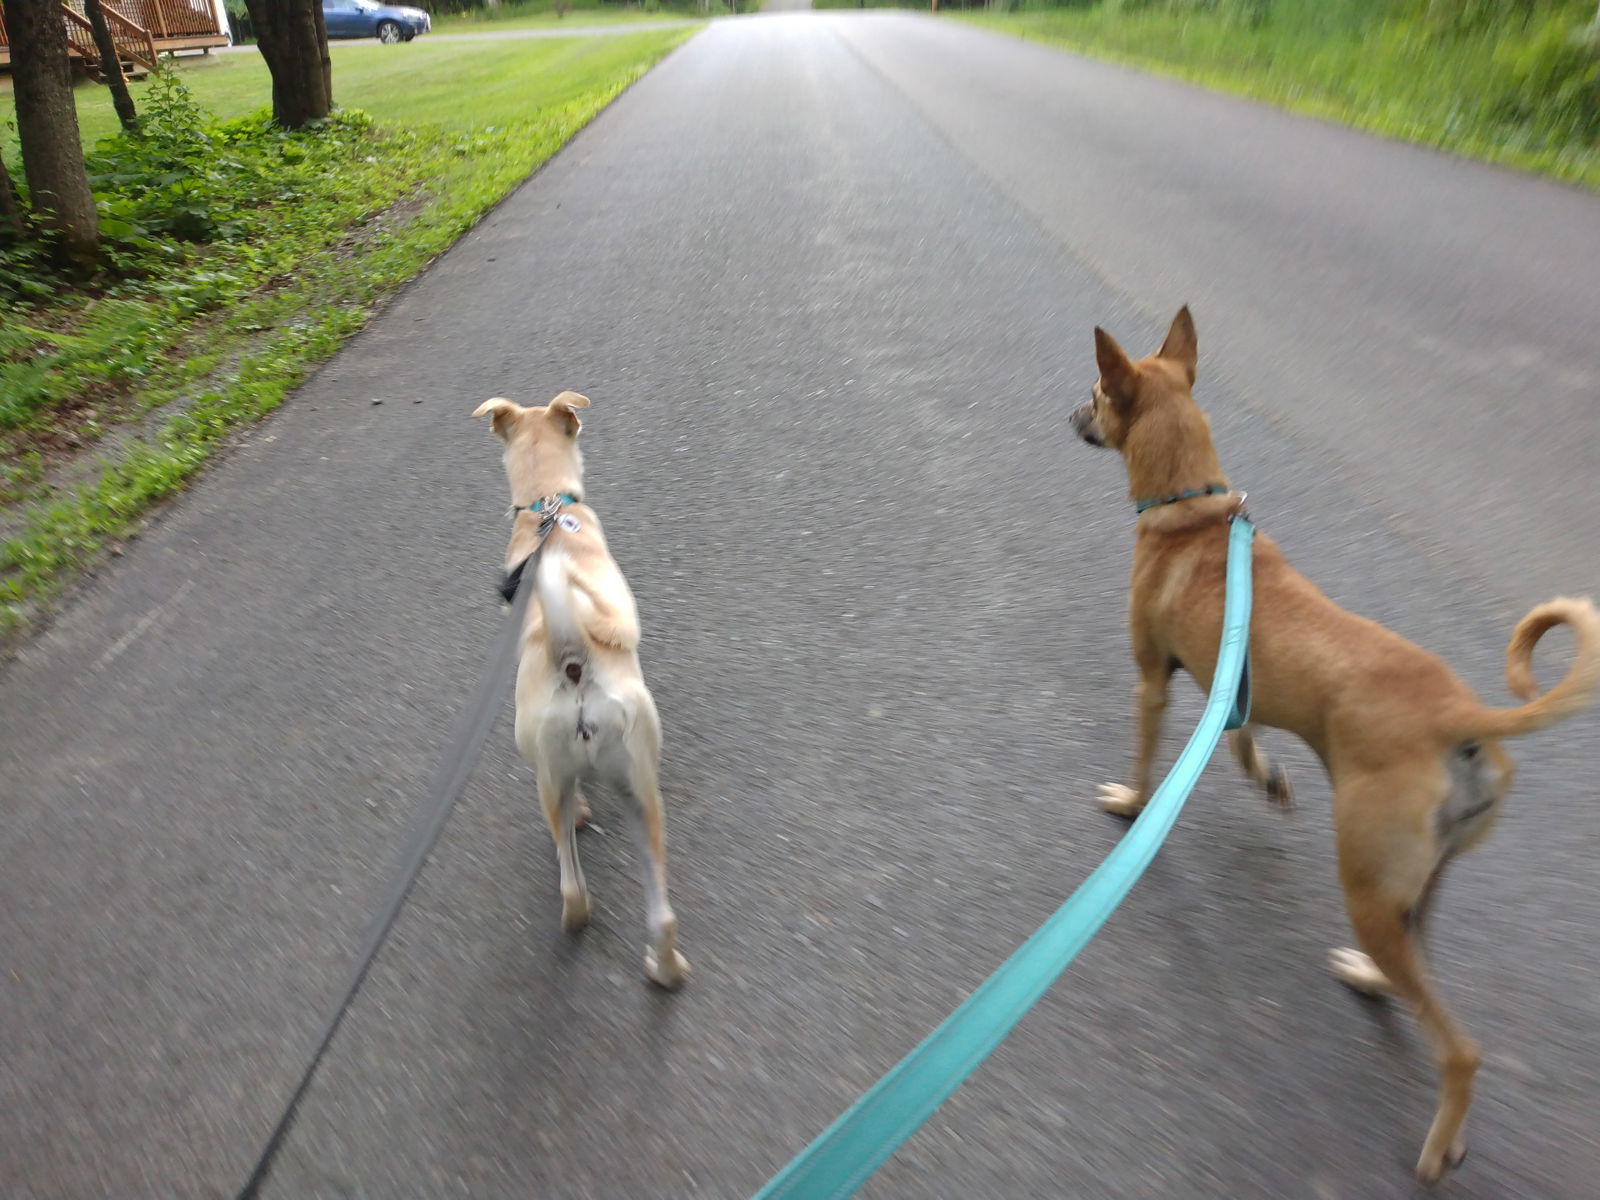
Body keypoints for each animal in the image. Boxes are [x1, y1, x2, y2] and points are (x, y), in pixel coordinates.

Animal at [467, 390, 681, 992]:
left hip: (552, 779)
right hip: (642, 792)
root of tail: (575, 661)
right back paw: (666, 970)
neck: (547, 510)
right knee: (661, 912)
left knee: (571, 881)